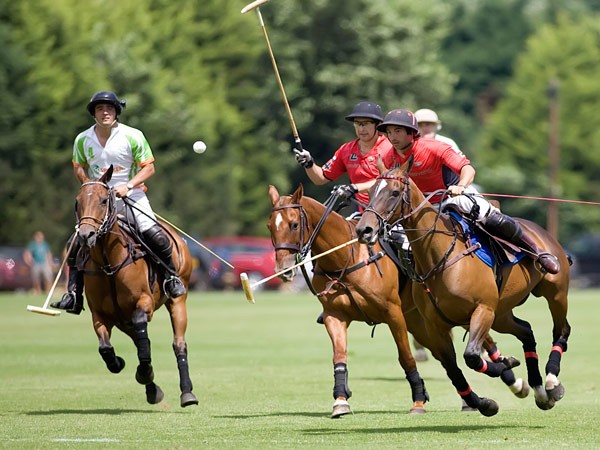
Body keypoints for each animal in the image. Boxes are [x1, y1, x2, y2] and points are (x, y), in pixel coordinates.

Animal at [74, 167, 198, 410]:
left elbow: (143, 337)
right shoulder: (100, 314)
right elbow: (106, 348)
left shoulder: (143, 303)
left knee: (178, 344)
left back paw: (187, 393)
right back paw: (152, 390)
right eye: (78, 201)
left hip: (177, 299)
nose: (85, 236)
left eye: (104, 200)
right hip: (123, 320)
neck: (109, 264)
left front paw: (144, 372)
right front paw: (121, 363)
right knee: (140, 340)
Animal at [266, 185, 520, 416]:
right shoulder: (334, 316)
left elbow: (406, 357)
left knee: (483, 337)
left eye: (294, 224)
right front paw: (340, 400)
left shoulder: (393, 313)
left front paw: (418, 400)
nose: (283, 270)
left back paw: (510, 375)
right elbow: (339, 356)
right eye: (270, 226)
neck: (346, 259)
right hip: (421, 321)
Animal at [356, 159, 572, 414]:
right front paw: (485, 402)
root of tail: (540, 231)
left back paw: (552, 382)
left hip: (555, 293)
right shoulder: (435, 325)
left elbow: (471, 356)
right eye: (371, 191)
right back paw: (539, 391)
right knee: (527, 331)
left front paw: (502, 369)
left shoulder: (482, 310)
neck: (438, 257)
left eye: (395, 192)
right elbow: (453, 368)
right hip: (501, 314)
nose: (364, 230)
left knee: (561, 330)